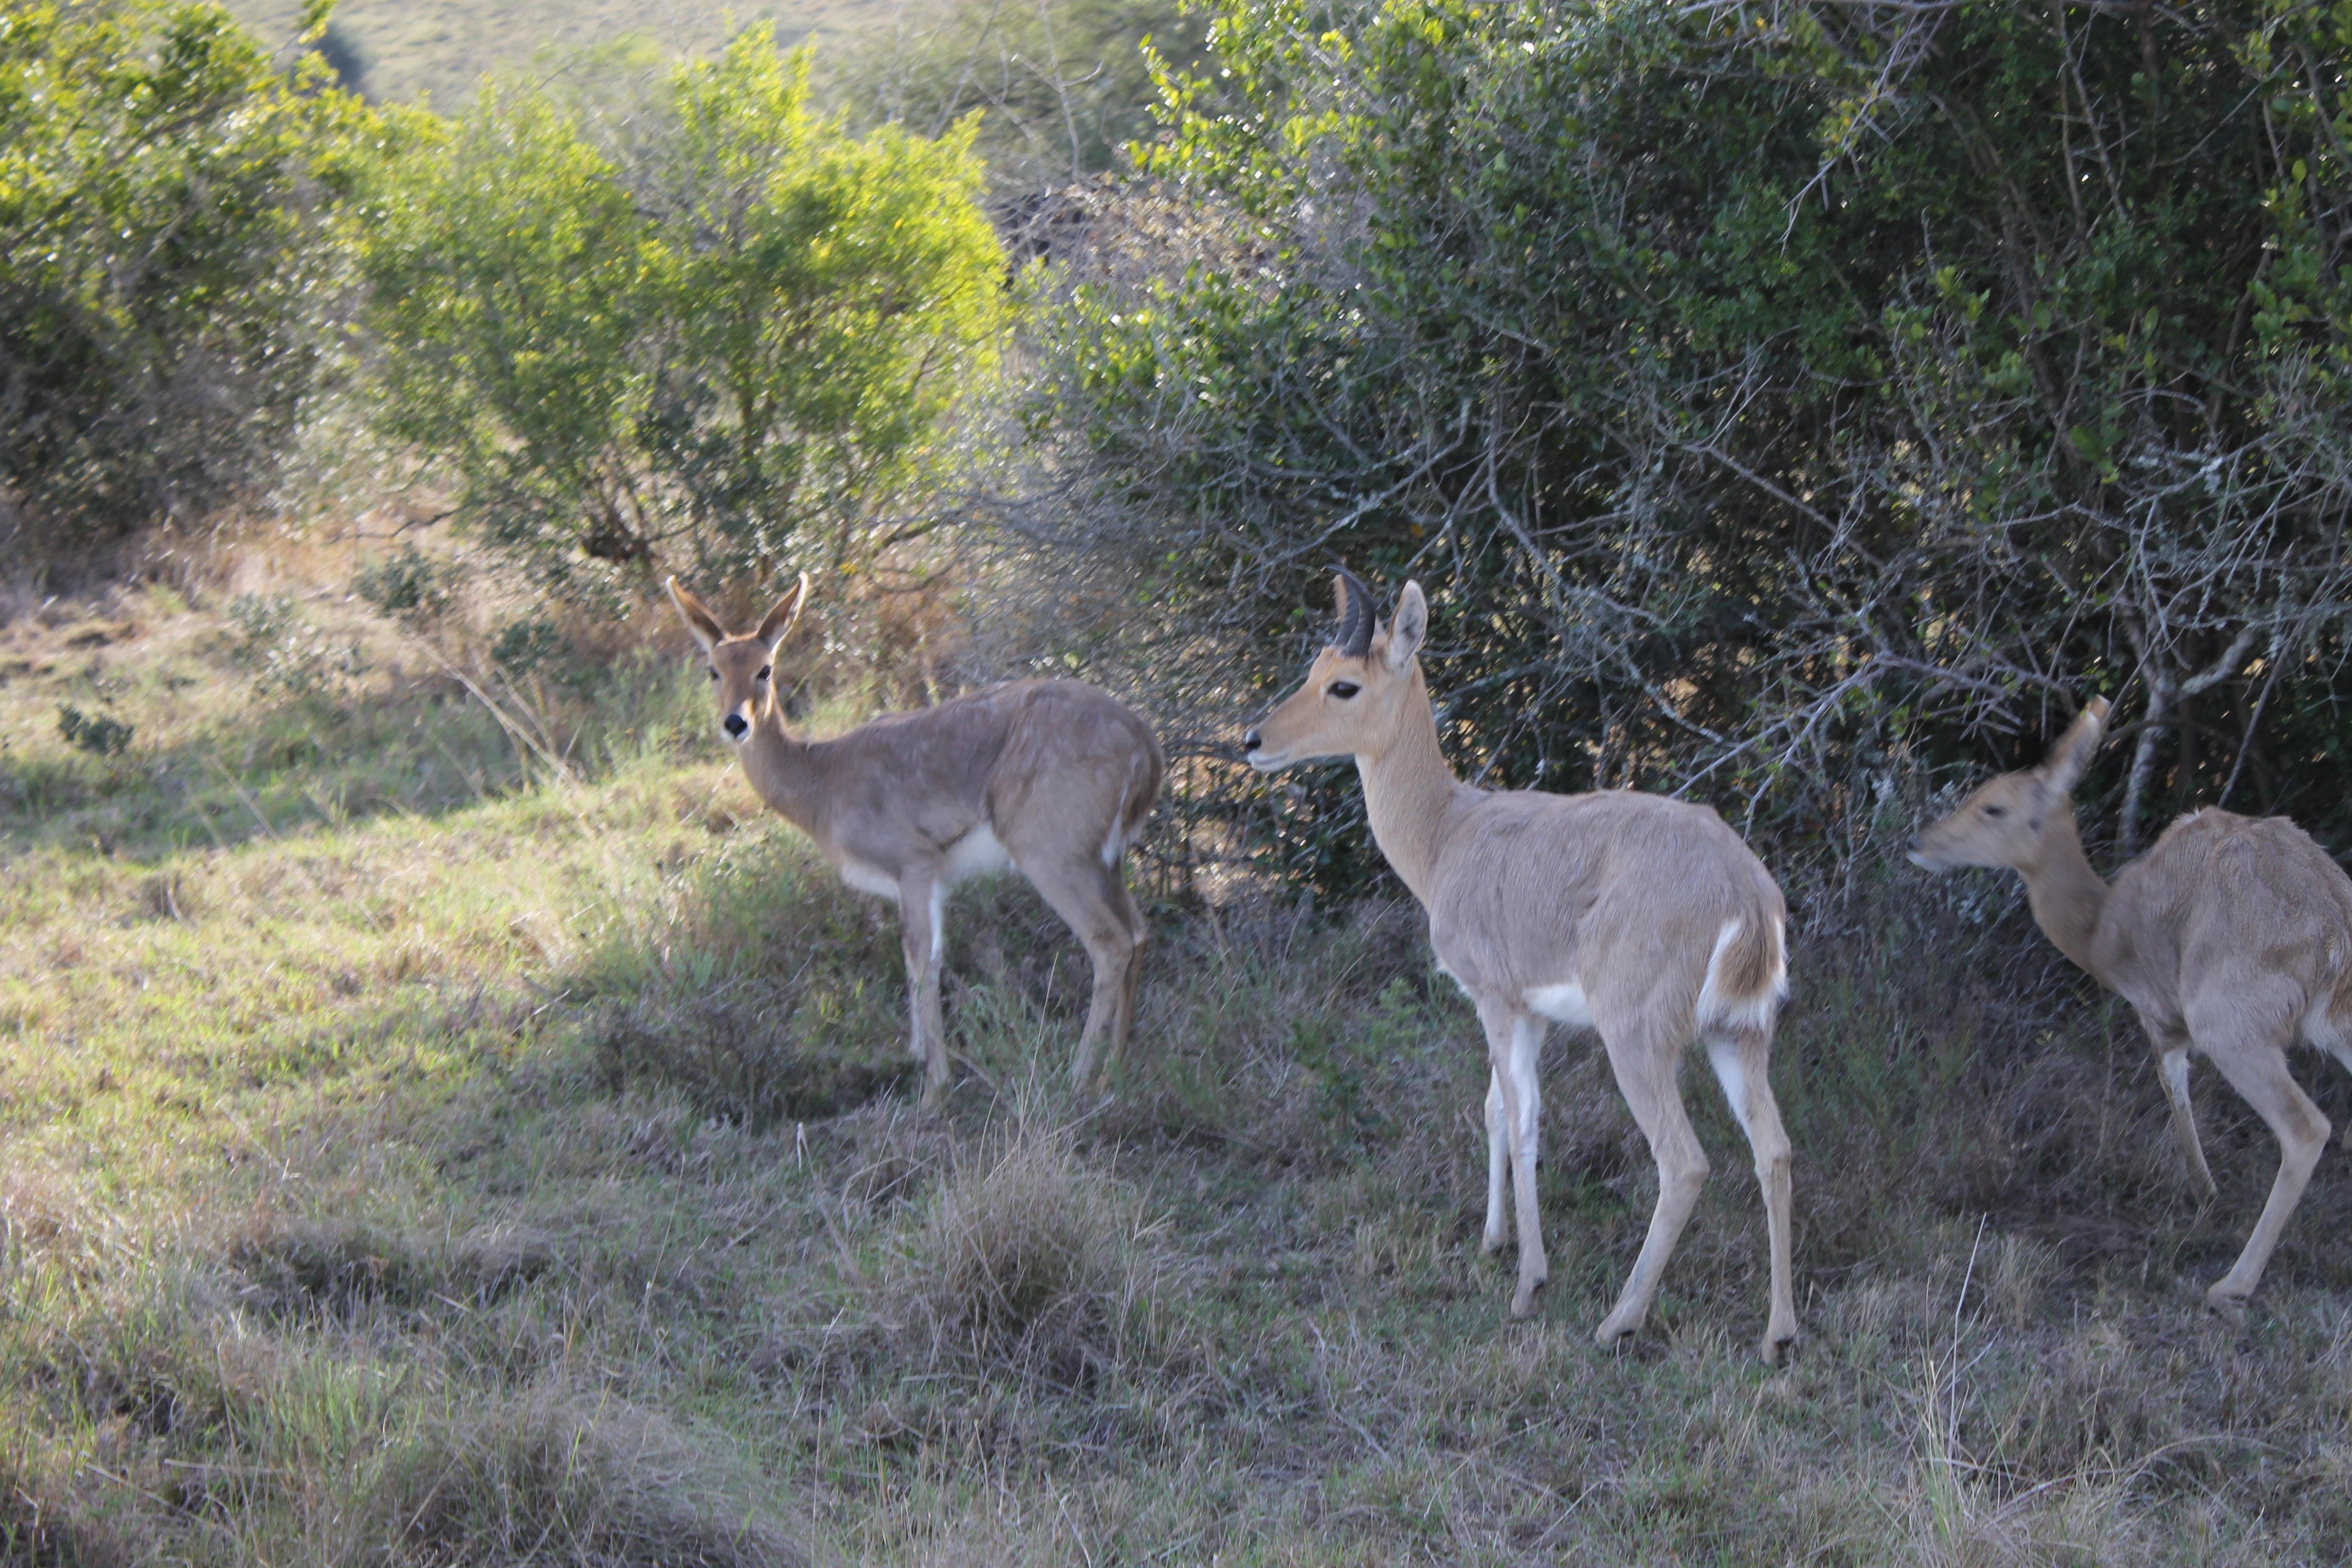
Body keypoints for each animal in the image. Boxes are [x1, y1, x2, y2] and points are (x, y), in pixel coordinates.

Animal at [668, 582, 1162, 1109]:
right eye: (713, 669)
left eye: (765, 668)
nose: (735, 723)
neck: (821, 785)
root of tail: (1146, 749)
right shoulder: (929, 882)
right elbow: (915, 962)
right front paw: (917, 1061)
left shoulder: (915, 866)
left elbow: (925, 961)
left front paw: (934, 1089)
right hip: (1106, 860)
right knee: (1138, 931)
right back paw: (1114, 1072)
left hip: (1050, 852)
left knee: (1109, 942)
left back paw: (1077, 1079)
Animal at [1242, 567, 1787, 1363]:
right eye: (1314, 668)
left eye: (1345, 685)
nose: (1253, 739)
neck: (1449, 832)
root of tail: (1745, 890)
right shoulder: (1529, 1012)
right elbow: (1498, 1109)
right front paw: (1494, 1241)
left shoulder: (1497, 1001)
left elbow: (1523, 1118)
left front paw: (1529, 1283)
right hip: (1739, 1035)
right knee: (1773, 1150)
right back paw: (1781, 1333)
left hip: (1637, 1040)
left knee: (1684, 1161)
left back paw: (1618, 1321)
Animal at [1909, 700, 2352, 1316]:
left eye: (1994, 806)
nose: (1921, 842)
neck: (2101, 930)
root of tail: (2333, 932)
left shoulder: (2161, 1014)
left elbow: (2174, 1090)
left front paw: (2206, 1193)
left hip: (2230, 1026)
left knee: (2307, 1127)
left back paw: (2231, 1283)